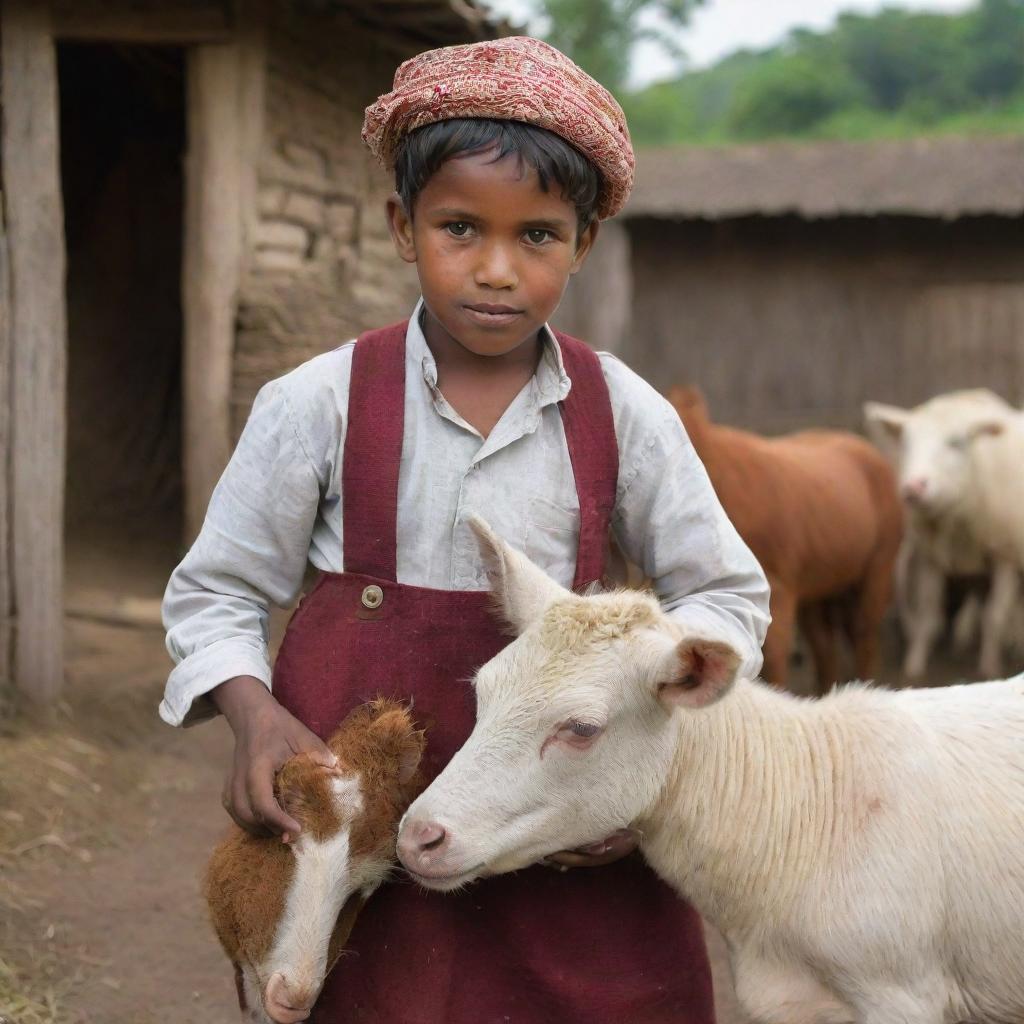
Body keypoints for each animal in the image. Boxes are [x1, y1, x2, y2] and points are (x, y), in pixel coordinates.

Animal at [675, 387, 901, 692]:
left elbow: (773, 659)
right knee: (825, 647)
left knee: (863, 637)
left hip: (878, 570)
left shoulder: (778, 586)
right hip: (821, 586)